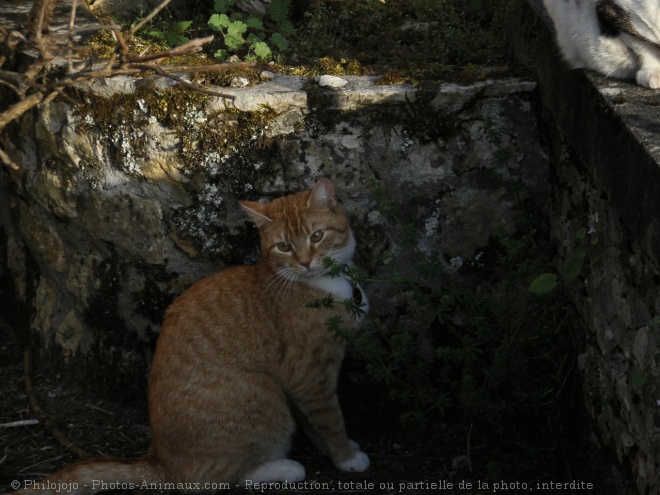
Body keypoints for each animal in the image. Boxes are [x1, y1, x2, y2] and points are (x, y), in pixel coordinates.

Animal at [15, 180, 368, 494]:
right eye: (285, 246)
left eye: (317, 236)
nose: (305, 262)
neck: (327, 286)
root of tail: (158, 459)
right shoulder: (310, 375)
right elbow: (330, 420)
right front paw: (346, 457)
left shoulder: (303, 384)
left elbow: (313, 423)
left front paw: (331, 448)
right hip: (264, 398)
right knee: (216, 478)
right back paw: (285, 468)